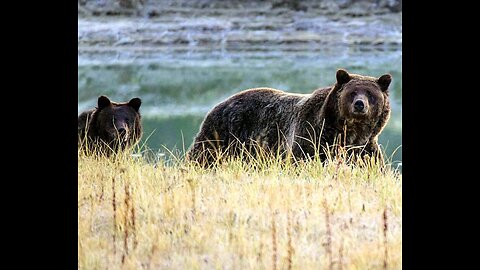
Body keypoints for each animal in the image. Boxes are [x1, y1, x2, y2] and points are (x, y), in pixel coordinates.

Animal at [186, 69, 392, 167]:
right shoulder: (312, 136)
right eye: (352, 92)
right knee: (203, 156)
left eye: (370, 94)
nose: (359, 104)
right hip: (223, 134)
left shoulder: (364, 148)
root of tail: (220, 103)